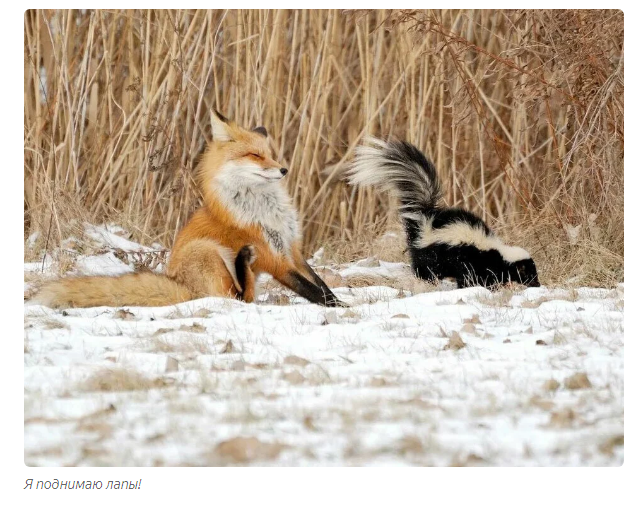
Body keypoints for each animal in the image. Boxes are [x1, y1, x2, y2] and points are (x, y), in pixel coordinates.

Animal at [34, 111, 348, 308]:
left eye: (270, 154)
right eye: (255, 155)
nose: (283, 170)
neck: (266, 210)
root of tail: (181, 285)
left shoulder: (291, 249)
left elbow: (321, 284)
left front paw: (341, 303)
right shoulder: (275, 259)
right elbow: (313, 291)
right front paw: (341, 309)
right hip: (207, 252)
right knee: (237, 298)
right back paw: (242, 263)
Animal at [348, 138, 540, 288]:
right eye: (529, 273)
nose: (538, 284)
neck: (498, 253)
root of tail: (425, 218)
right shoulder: (472, 260)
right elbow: (471, 277)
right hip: (431, 254)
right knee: (425, 268)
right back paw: (427, 281)